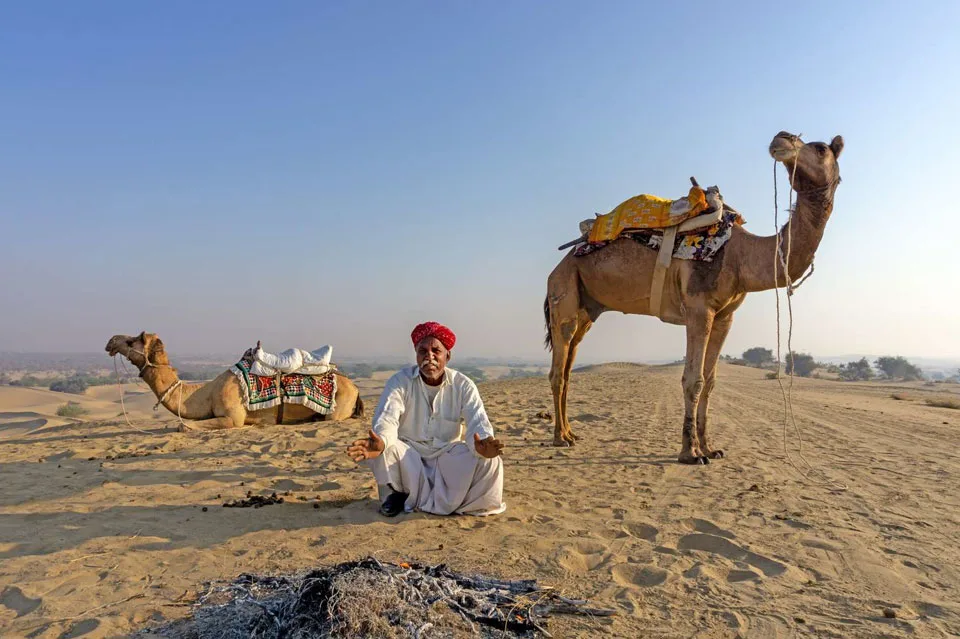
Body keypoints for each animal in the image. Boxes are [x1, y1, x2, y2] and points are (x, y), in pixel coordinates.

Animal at [105, 332, 364, 429]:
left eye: (132, 341)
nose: (111, 340)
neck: (208, 391)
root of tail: (355, 387)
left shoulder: (233, 416)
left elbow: (184, 425)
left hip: (338, 407)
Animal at [544, 131, 843, 463]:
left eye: (820, 148)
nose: (782, 138)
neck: (741, 257)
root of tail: (558, 266)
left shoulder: (725, 316)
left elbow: (710, 382)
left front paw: (710, 447)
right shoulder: (699, 309)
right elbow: (693, 380)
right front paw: (690, 452)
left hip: (587, 309)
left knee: (569, 365)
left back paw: (570, 433)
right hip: (563, 294)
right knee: (558, 370)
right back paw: (559, 438)